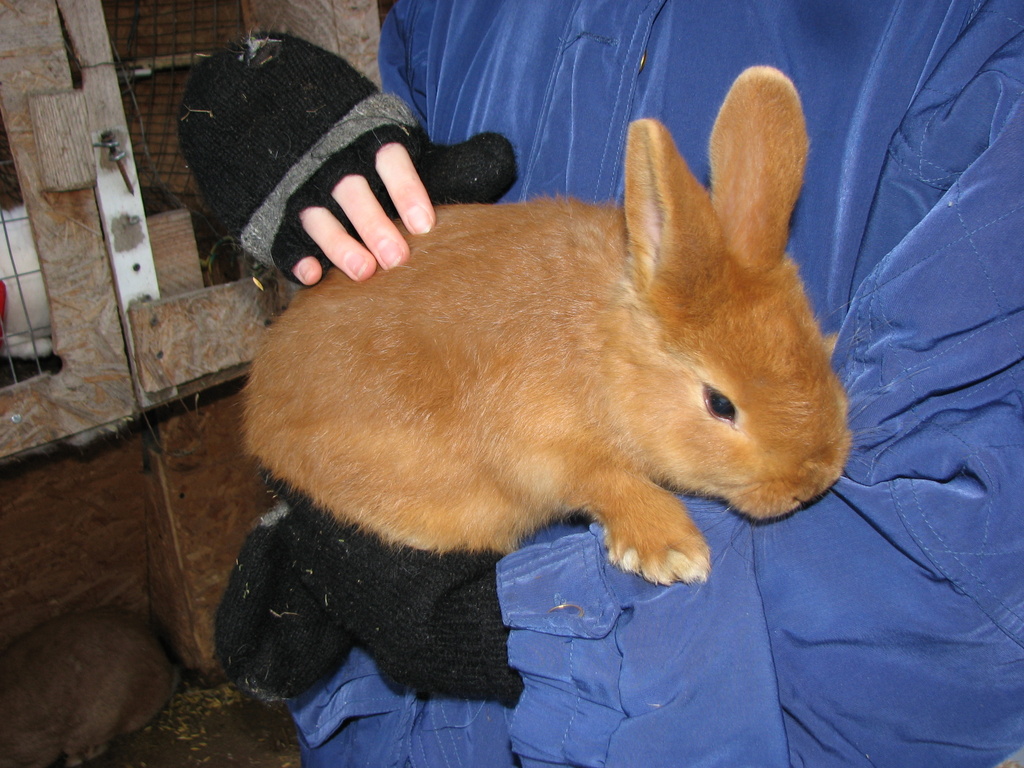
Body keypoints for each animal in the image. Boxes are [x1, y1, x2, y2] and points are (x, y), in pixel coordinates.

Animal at [242, 66, 851, 585]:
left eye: (821, 348)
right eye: (720, 404)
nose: (811, 483)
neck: (602, 354)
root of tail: (258, 412)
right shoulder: (542, 446)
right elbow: (605, 479)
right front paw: (672, 549)